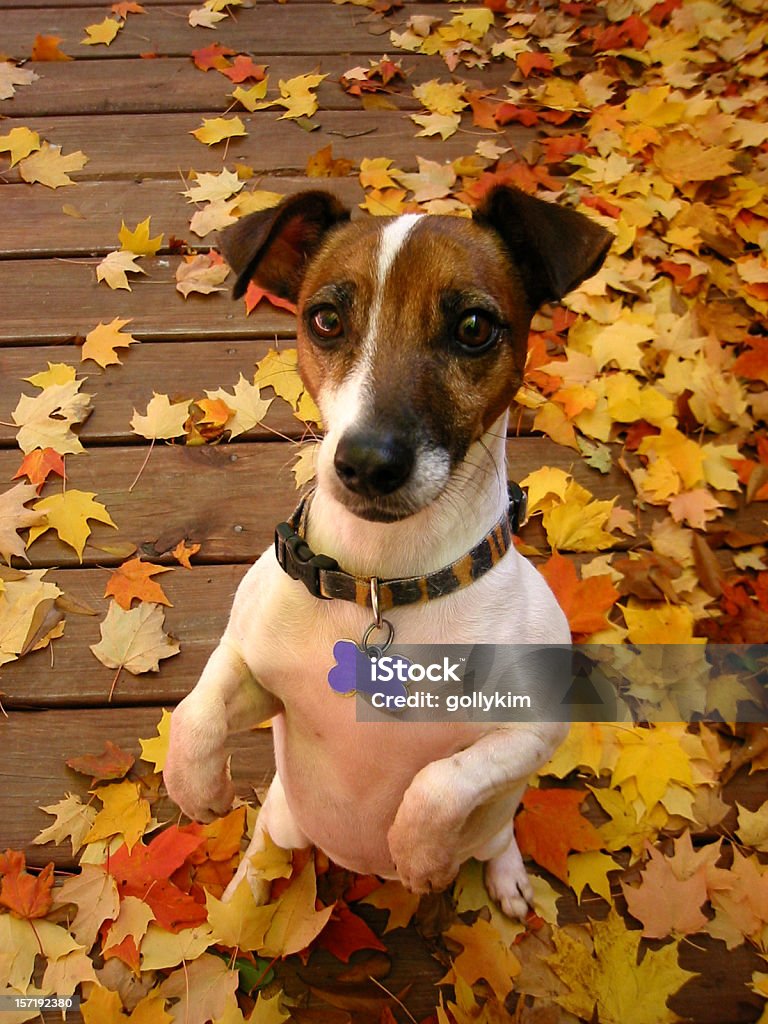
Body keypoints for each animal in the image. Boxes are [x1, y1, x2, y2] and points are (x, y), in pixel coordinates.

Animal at [163, 186, 614, 921]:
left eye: (473, 327)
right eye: (324, 320)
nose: (369, 463)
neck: (383, 578)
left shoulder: (533, 734)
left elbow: (440, 783)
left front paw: (420, 853)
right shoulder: (256, 674)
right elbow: (196, 710)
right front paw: (195, 784)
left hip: (498, 815)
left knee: (494, 837)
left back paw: (502, 876)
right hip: (287, 816)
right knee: (267, 846)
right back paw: (240, 902)